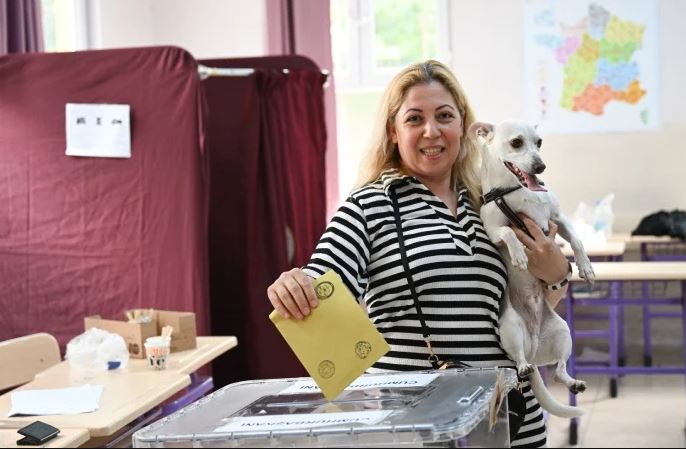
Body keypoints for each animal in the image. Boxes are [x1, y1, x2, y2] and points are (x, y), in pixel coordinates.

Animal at [468, 120, 595, 418]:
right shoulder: (493, 230)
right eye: (516, 143)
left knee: (560, 370)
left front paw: (585, 266)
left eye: (539, 143)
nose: (541, 166)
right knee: (519, 360)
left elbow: (576, 240)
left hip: (563, 333)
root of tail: (534, 346)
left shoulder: (558, 219)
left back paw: (573, 382)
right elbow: (508, 232)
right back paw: (524, 366)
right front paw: (518, 254)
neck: (516, 191)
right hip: (511, 329)